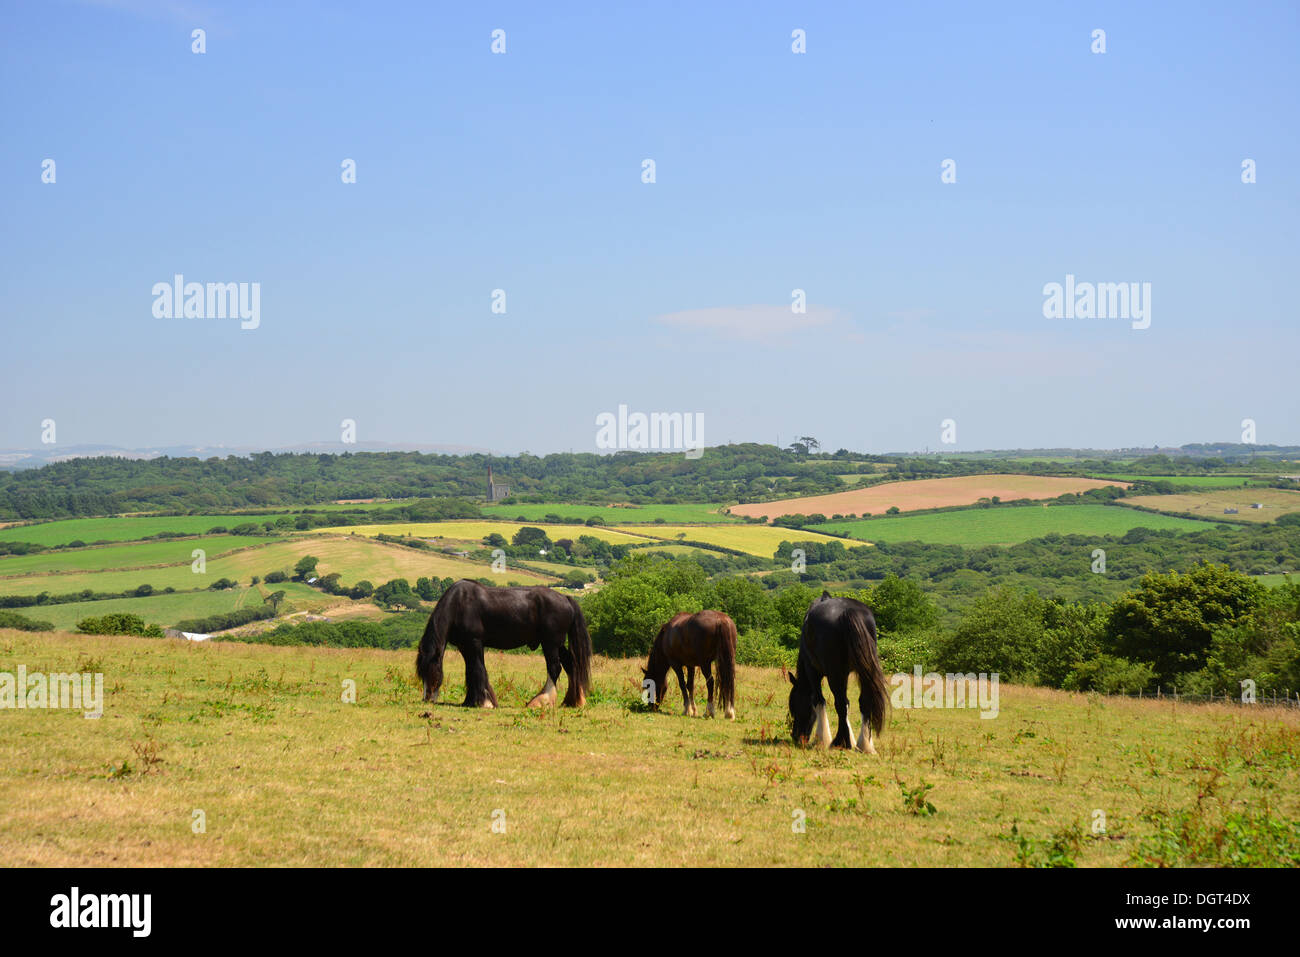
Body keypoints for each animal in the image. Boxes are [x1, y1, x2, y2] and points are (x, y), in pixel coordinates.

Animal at [416, 579, 595, 707]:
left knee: (554, 668)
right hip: (558, 644)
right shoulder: (464, 646)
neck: (459, 603)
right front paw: (470, 701)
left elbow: (478, 669)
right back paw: (574, 701)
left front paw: (485, 702)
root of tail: (566, 598)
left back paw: (541, 701)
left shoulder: (474, 643)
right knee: (571, 664)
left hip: (550, 643)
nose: (427, 698)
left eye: (431, 670)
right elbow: (471, 671)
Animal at [785, 590, 889, 754]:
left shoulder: (813, 671)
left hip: (835, 674)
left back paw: (840, 742)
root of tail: (848, 611)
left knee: (840, 702)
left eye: (794, 704)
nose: (796, 736)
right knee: (863, 702)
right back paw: (864, 745)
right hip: (862, 672)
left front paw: (822, 739)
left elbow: (819, 700)